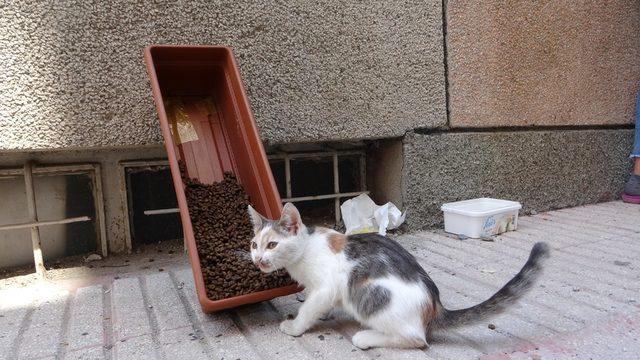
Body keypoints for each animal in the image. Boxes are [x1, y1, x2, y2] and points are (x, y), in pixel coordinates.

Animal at [248, 202, 548, 348]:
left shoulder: (326, 286)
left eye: (272, 244)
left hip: (370, 293)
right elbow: (315, 304)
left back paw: (366, 338)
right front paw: (321, 314)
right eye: (254, 244)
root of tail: (434, 306)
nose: (258, 260)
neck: (306, 248)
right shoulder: (321, 291)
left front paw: (294, 327)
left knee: (417, 340)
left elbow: (309, 308)